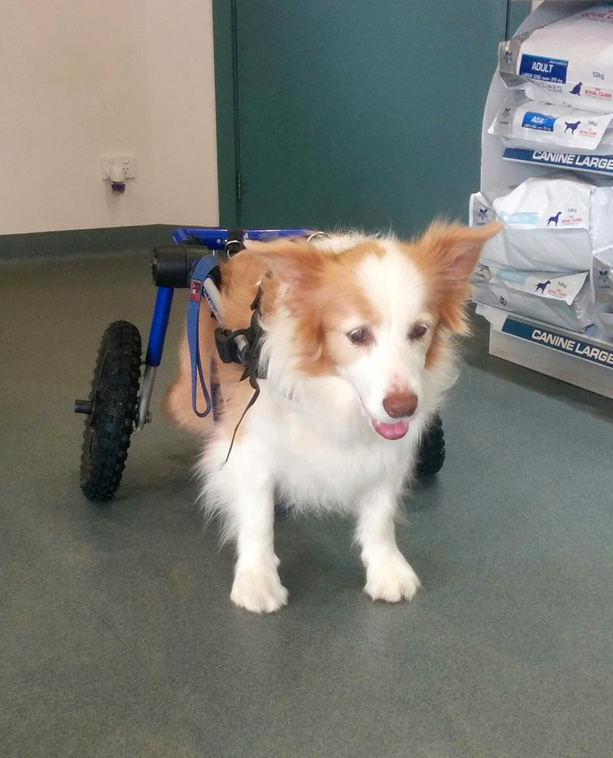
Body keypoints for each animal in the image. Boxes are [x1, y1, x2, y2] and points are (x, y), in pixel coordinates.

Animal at [164, 223, 502, 616]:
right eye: (357, 335)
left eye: (420, 330)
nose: (403, 407)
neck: (334, 396)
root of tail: (234, 246)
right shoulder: (250, 446)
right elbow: (257, 518)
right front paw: (257, 579)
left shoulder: (390, 452)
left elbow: (380, 517)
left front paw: (386, 569)